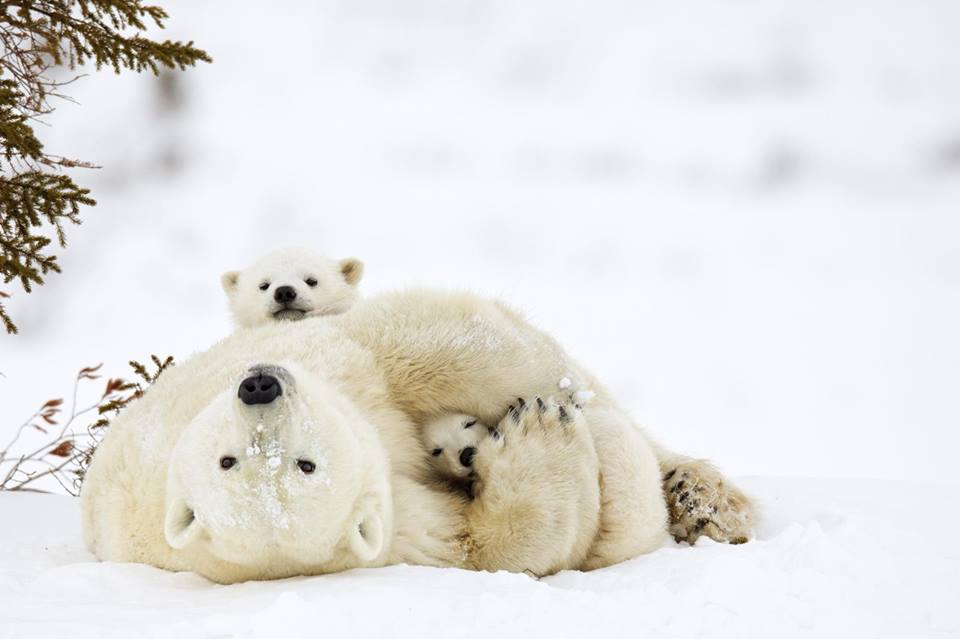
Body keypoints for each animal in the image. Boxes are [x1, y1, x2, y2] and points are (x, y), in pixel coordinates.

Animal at [80, 292, 756, 584]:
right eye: (307, 465)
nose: (260, 386)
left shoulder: (339, 361)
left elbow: (434, 347)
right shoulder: (398, 533)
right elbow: (493, 545)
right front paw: (538, 428)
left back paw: (704, 498)